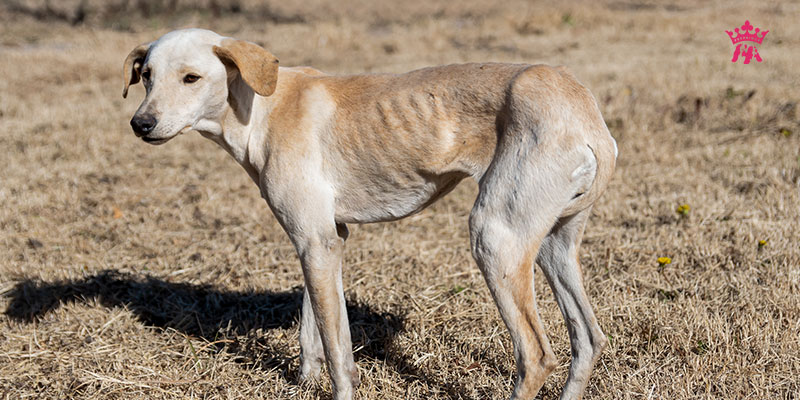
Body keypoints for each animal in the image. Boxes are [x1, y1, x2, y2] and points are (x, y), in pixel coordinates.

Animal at [122, 28, 620, 400]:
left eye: (191, 78)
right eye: (145, 75)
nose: (140, 125)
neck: (262, 107)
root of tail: (585, 111)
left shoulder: (315, 242)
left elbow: (338, 353)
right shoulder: (325, 241)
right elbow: (314, 331)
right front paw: (303, 383)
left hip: (495, 240)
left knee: (536, 357)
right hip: (553, 246)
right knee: (588, 338)